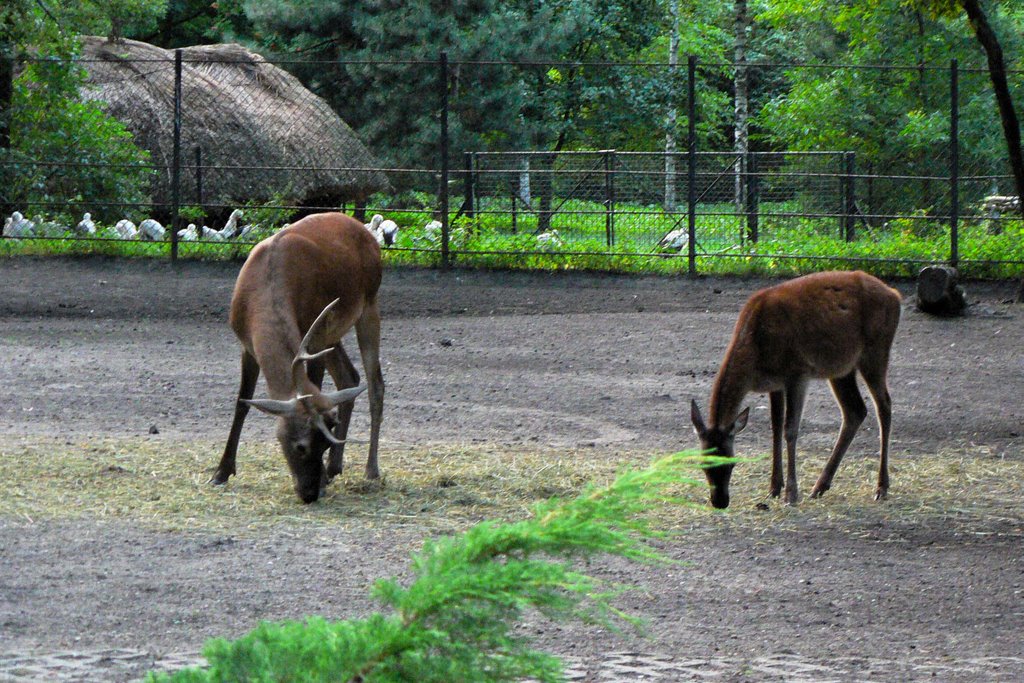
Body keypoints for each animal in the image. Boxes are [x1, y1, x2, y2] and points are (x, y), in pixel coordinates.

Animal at [210, 211, 385, 501]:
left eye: (323, 444)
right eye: (300, 446)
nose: (310, 493)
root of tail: (366, 231)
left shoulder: (313, 338)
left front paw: (324, 478)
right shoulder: (247, 345)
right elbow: (242, 403)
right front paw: (221, 472)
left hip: (369, 305)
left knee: (375, 385)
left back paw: (371, 470)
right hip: (334, 332)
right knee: (350, 377)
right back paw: (336, 467)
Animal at [692, 270, 901, 507]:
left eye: (731, 462)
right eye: (703, 463)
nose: (719, 501)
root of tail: (895, 295)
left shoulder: (797, 373)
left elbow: (790, 429)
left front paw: (791, 493)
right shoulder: (775, 383)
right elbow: (775, 427)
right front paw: (774, 487)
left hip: (875, 351)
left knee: (884, 405)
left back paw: (881, 487)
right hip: (841, 367)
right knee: (855, 411)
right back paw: (820, 486)